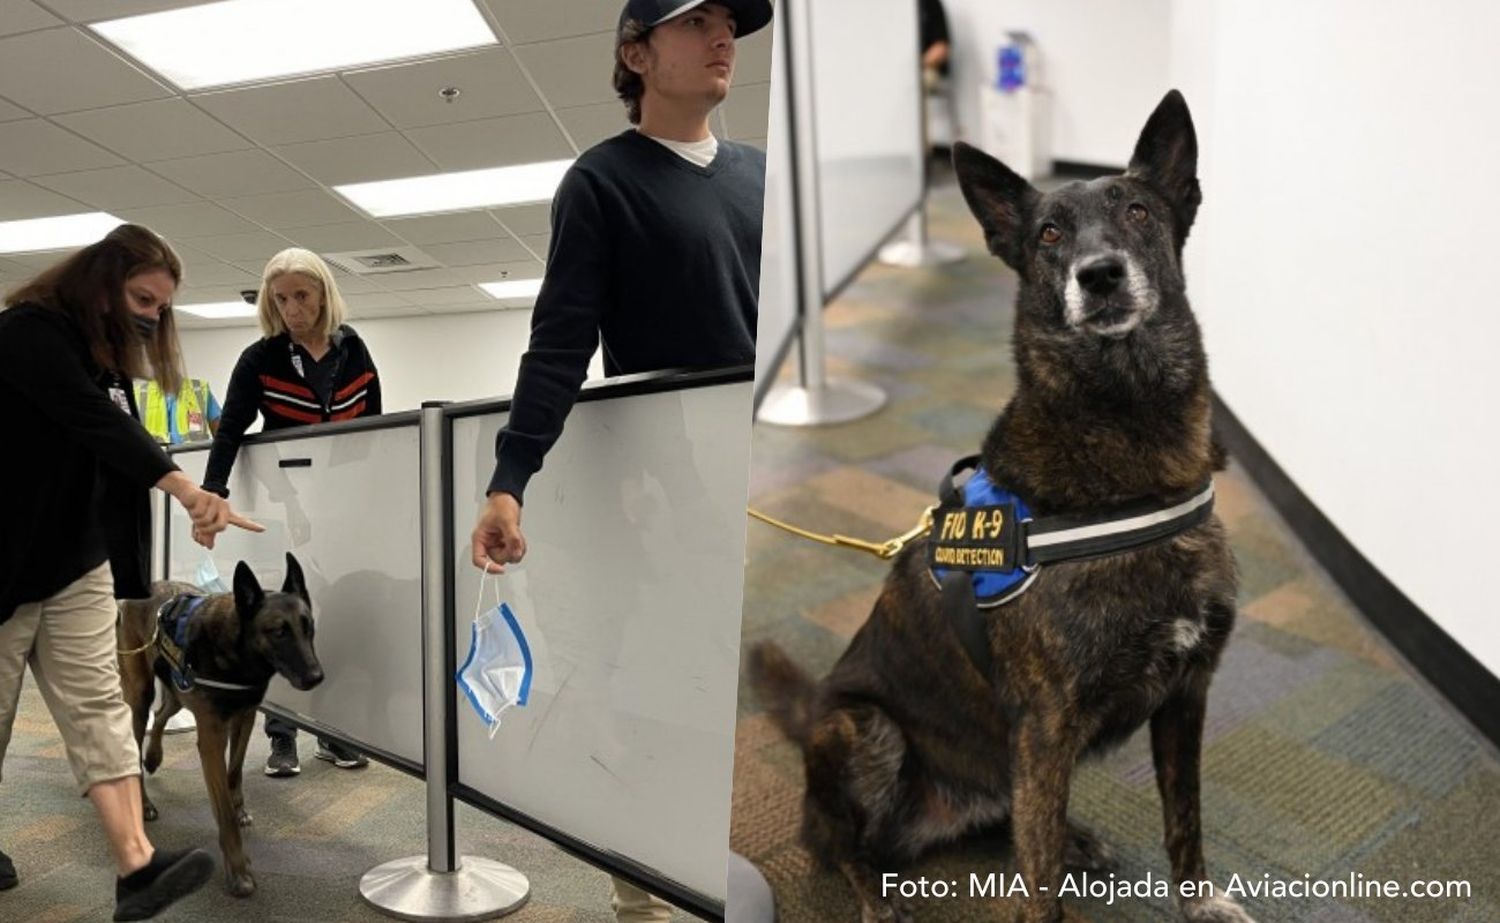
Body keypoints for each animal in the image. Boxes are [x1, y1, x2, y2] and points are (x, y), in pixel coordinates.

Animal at [118, 552, 324, 900]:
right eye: (278, 631)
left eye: (308, 627)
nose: (316, 677)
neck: (238, 652)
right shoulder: (212, 738)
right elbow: (223, 811)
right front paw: (238, 870)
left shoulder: (244, 718)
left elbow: (235, 772)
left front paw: (239, 809)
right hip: (140, 693)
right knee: (138, 737)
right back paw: (143, 802)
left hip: (178, 692)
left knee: (162, 713)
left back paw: (154, 756)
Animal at [747, 91, 1254, 923]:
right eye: (1049, 233)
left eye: (1140, 211)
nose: (1100, 274)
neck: (1131, 445)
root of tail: (816, 702)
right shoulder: (1046, 727)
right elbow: (1038, 882)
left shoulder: (1187, 694)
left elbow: (1186, 818)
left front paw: (1200, 902)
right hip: (867, 728)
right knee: (838, 841)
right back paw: (875, 894)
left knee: (1004, 820)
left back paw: (1070, 837)